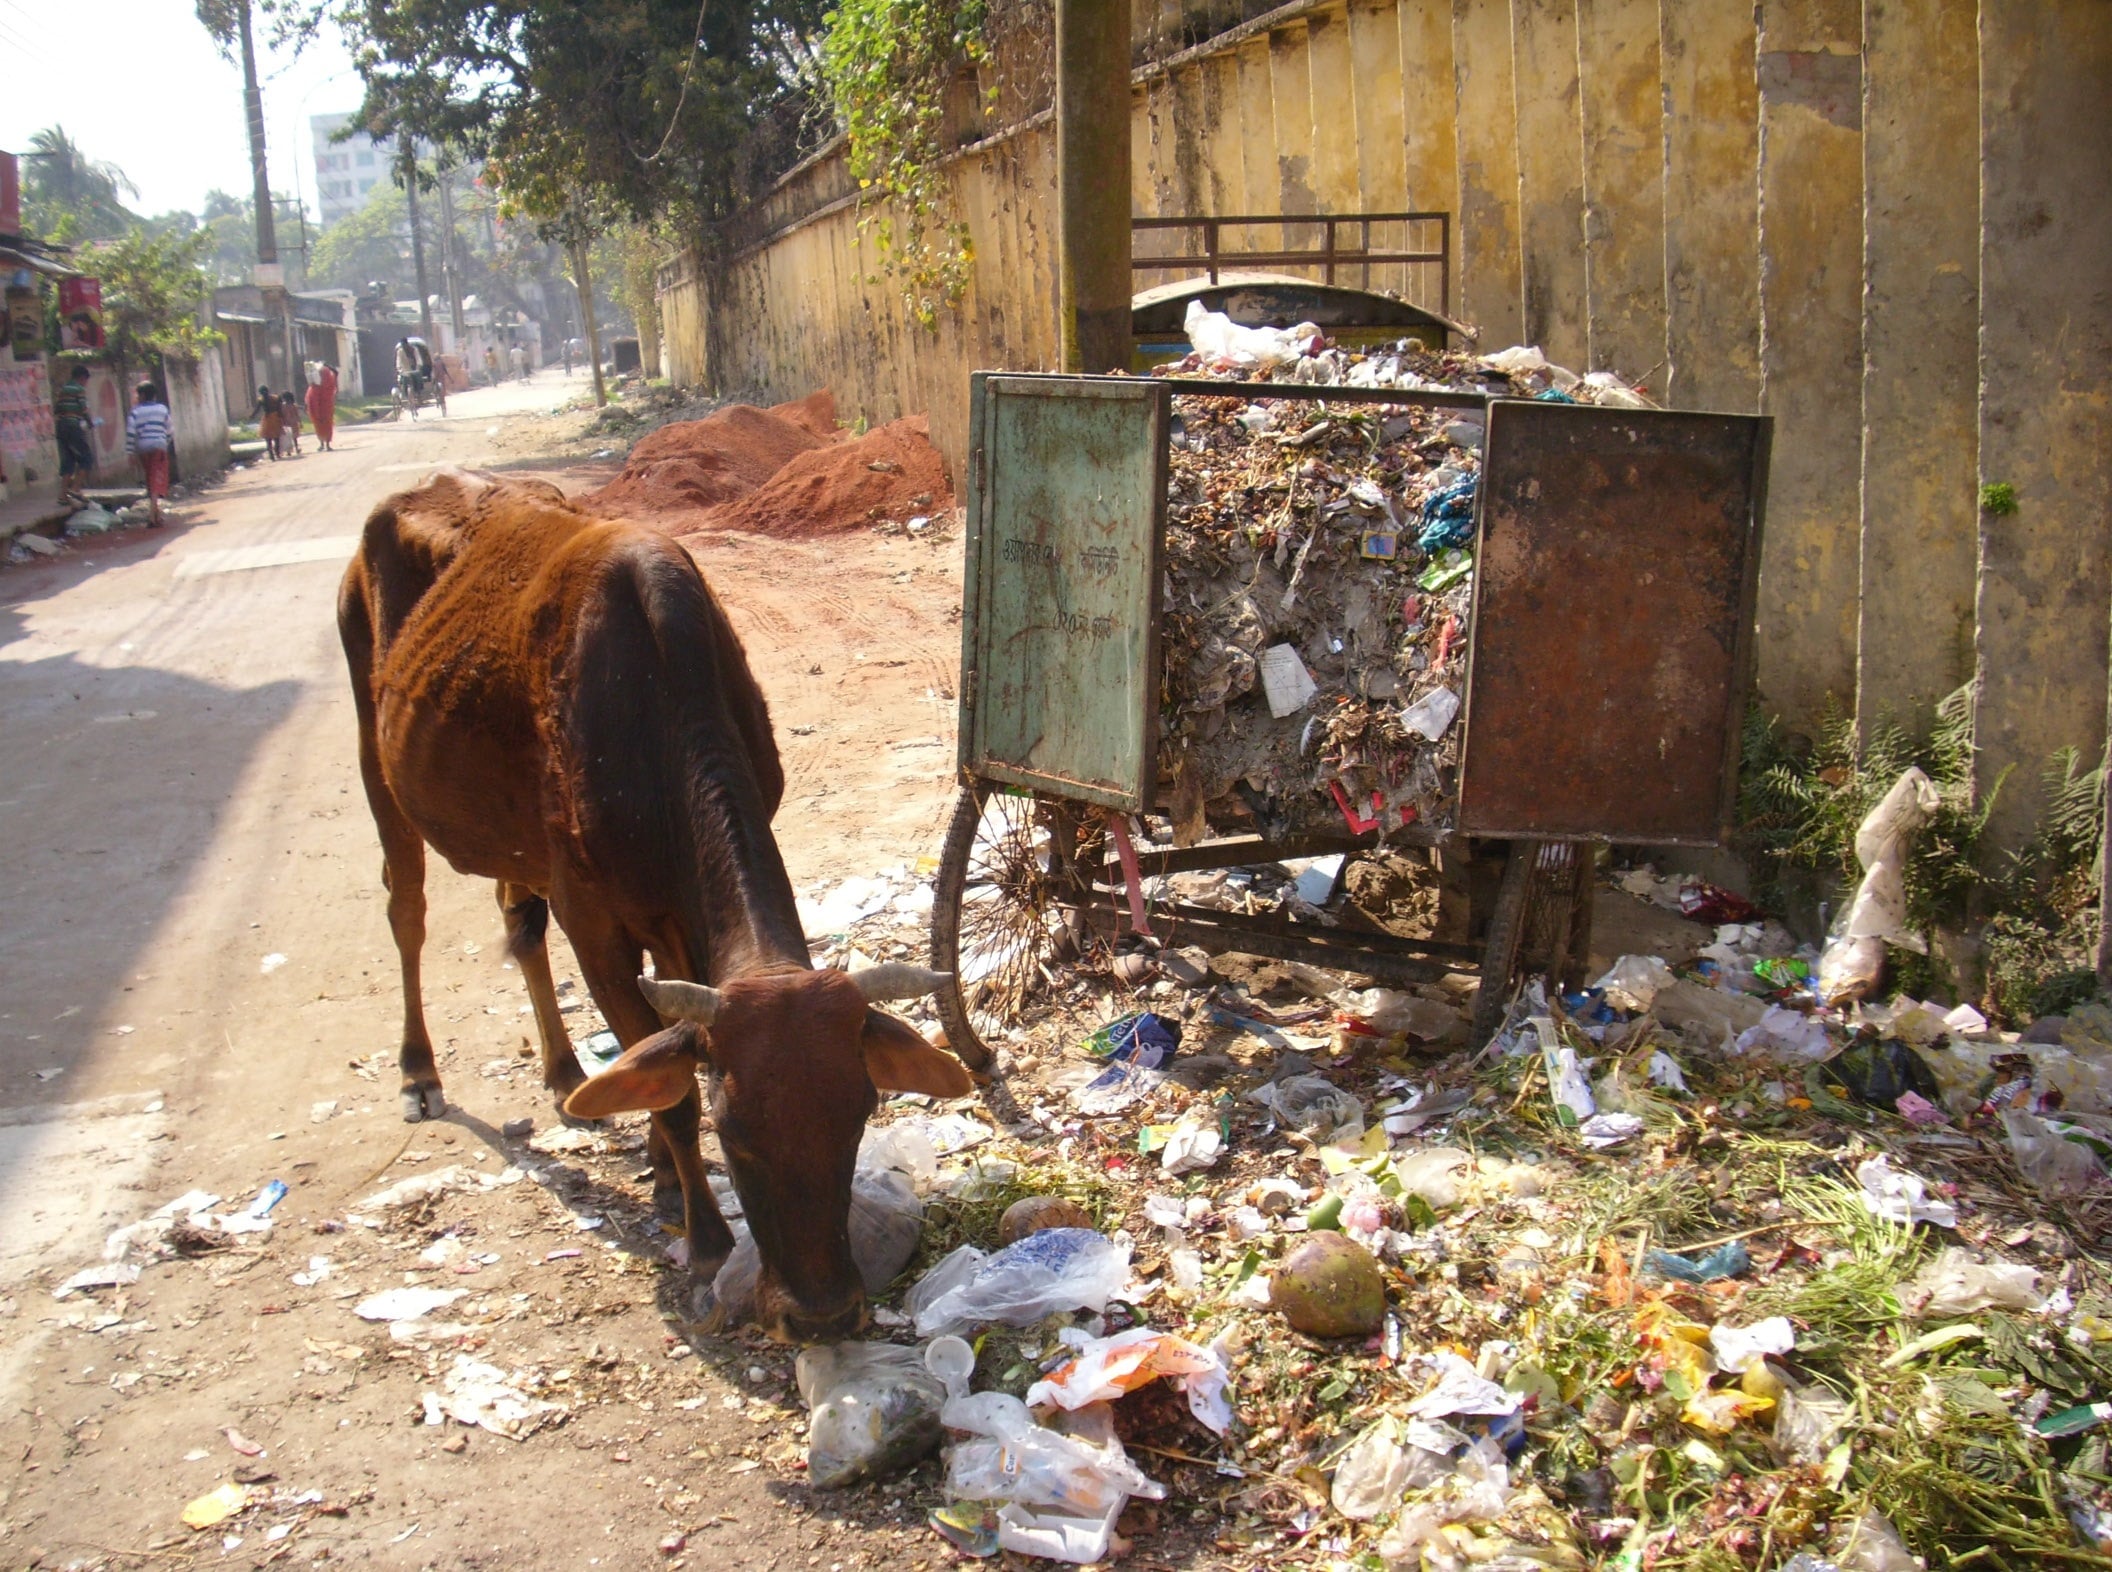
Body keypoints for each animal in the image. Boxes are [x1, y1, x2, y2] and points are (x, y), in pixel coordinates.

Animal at [337, 469, 971, 1335]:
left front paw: (661, 1169)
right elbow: (669, 1093)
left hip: (514, 838)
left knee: (517, 922)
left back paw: (566, 1073)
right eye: (736, 1134)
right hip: (379, 761)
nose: (824, 1317)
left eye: (861, 1112)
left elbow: (663, 1050)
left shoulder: (672, 917)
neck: (654, 701)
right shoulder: (595, 924)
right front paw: (703, 1231)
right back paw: (418, 1071)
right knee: (407, 915)